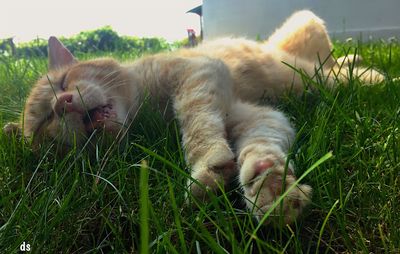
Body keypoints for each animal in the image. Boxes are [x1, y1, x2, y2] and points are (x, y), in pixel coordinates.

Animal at [3, 9, 384, 224]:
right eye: (44, 123)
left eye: (64, 82)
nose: (64, 103)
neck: (144, 112)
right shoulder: (256, 114)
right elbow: (262, 141)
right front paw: (269, 185)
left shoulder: (197, 74)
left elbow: (196, 122)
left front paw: (207, 168)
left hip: (310, 67)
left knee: (340, 70)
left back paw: (376, 76)